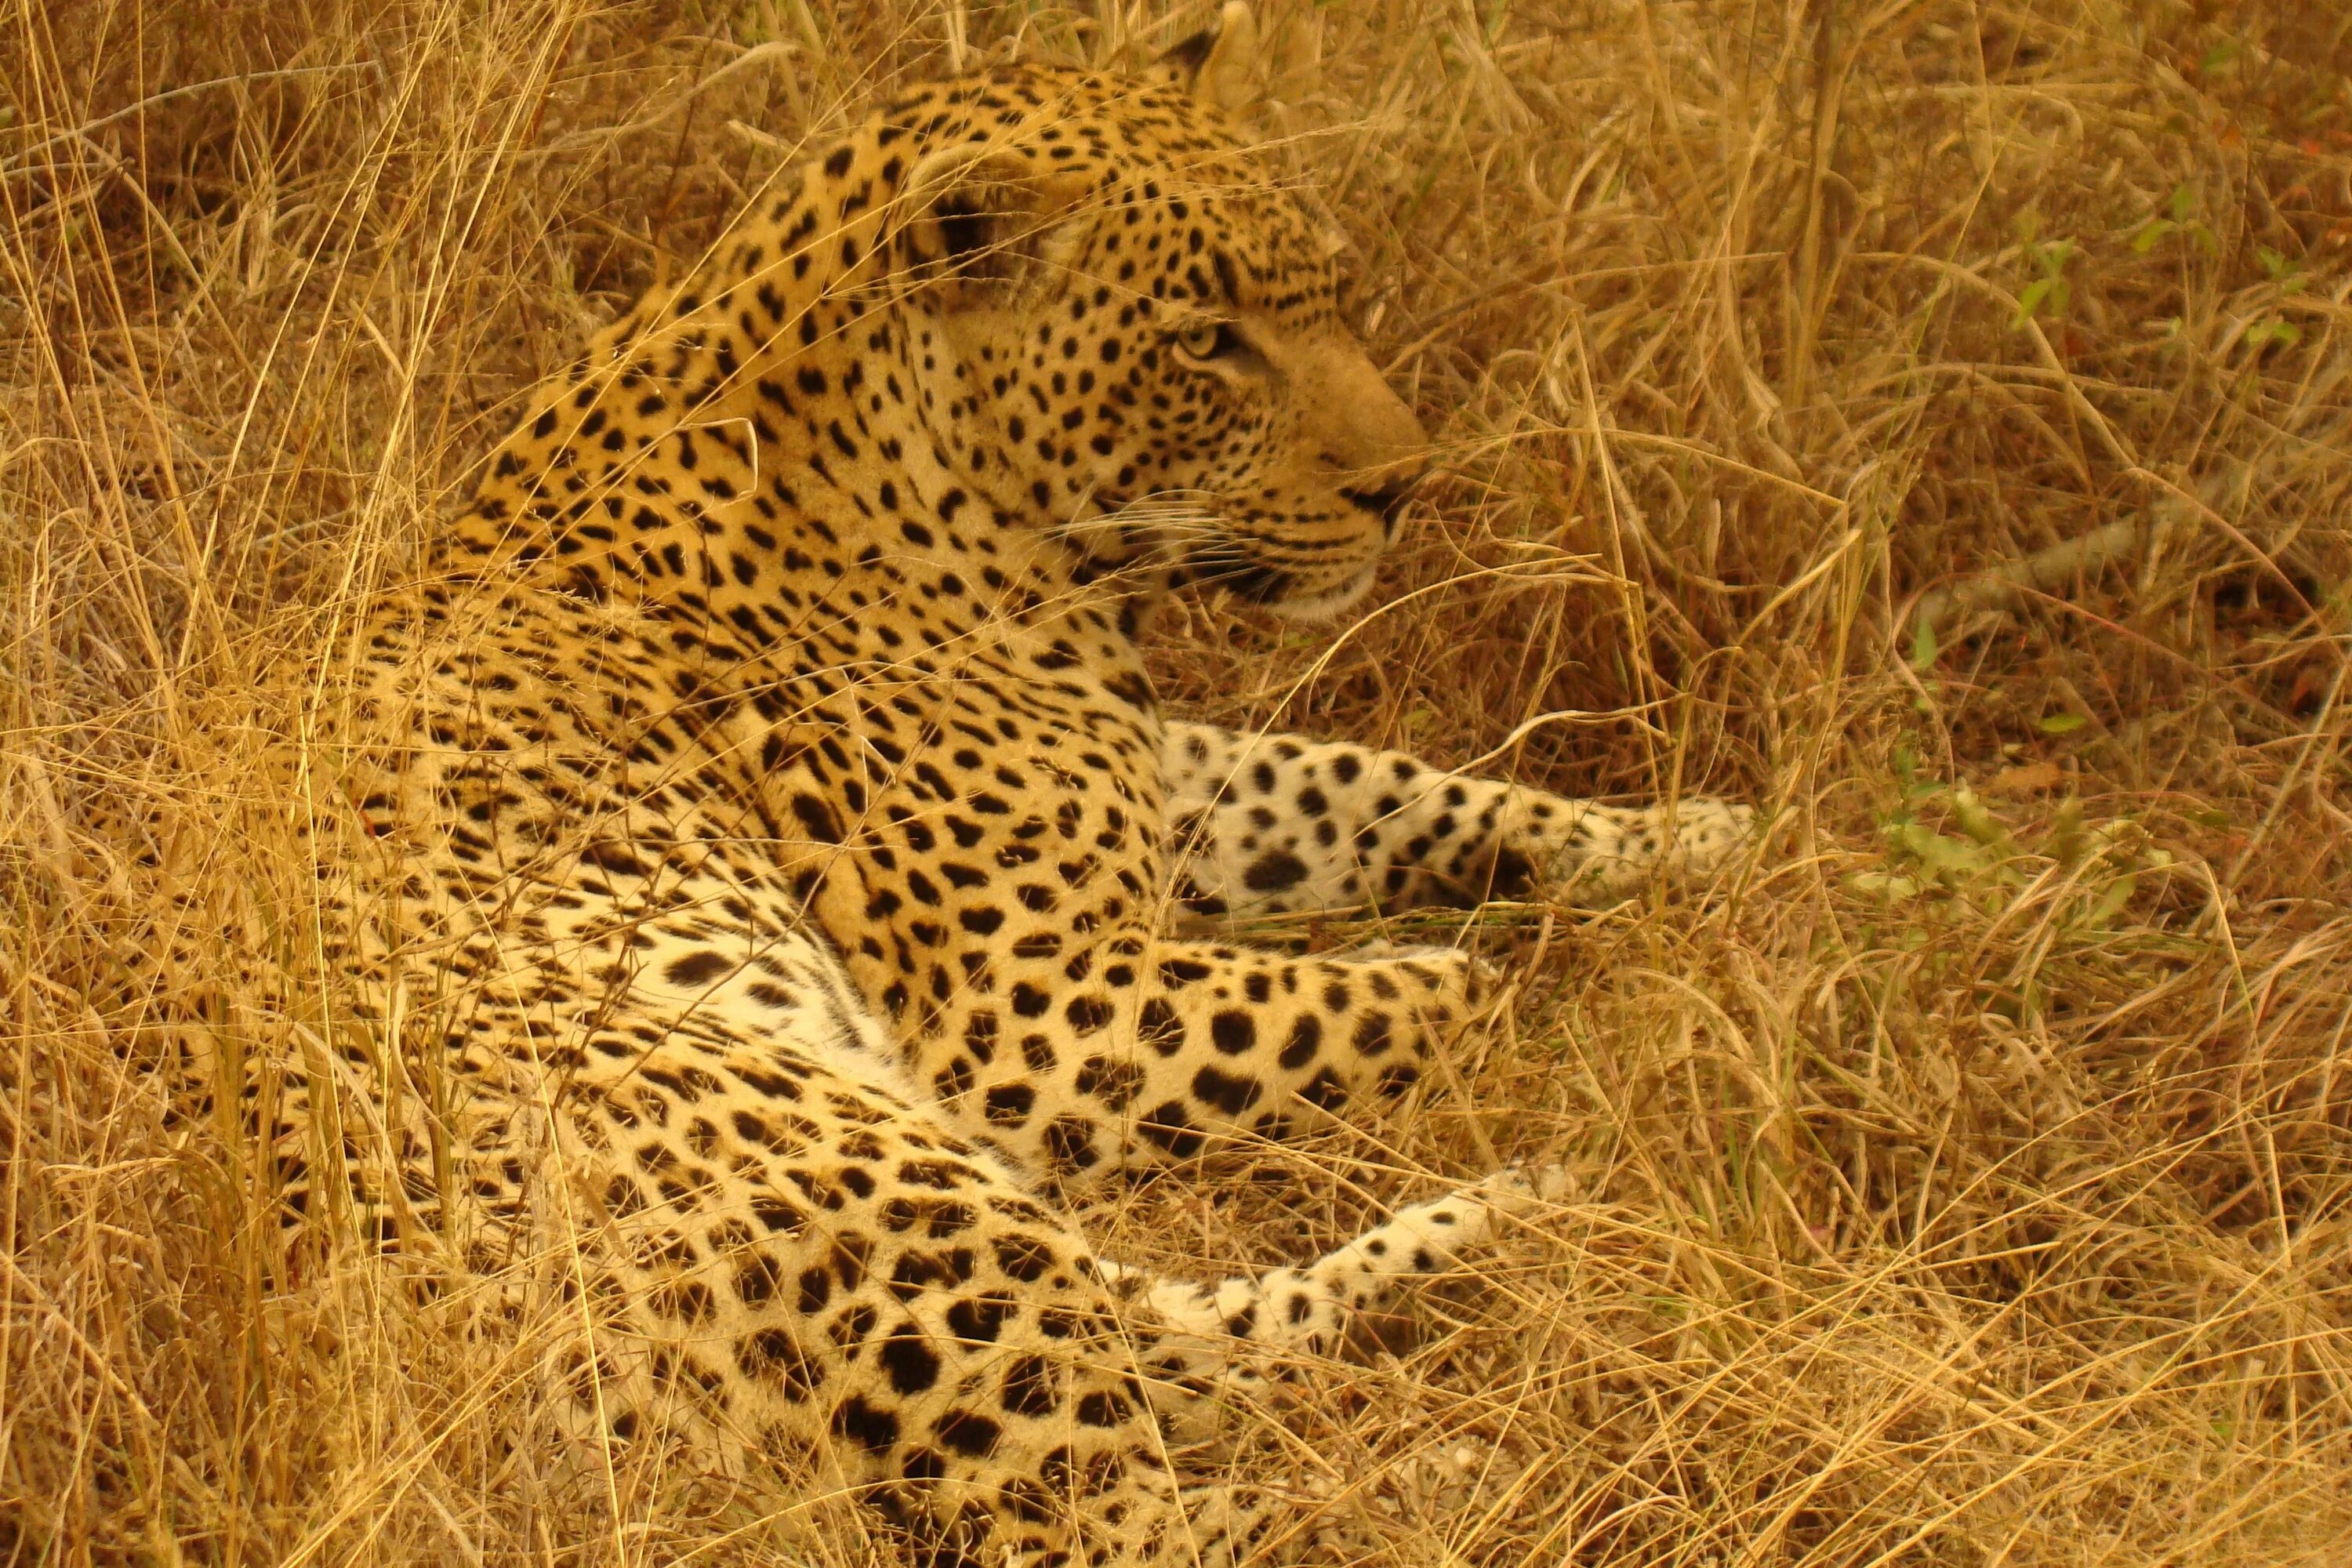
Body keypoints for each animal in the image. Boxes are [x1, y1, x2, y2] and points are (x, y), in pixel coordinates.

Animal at [229, 9, 1759, 1561]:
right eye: (1207, 343)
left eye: (1330, 298)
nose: (1405, 486)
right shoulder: (1036, 1013)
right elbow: (1429, 988)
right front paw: (1542, 974)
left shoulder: (1155, 773)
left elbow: (1365, 783)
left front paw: (1685, 836)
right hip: (869, 1180)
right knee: (1124, 1514)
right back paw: (1463, 1480)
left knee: (1183, 1341)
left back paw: (1501, 1224)